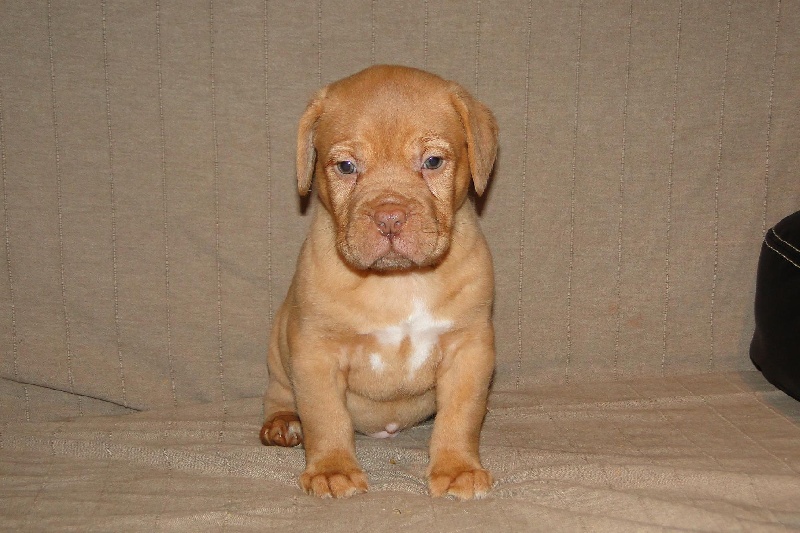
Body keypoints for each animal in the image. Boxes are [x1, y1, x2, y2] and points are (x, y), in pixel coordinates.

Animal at [260, 65, 498, 500]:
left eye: (433, 161)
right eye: (346, 167)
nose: (389, 217)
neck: (397, 281)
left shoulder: (469, 349)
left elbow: (461, 415)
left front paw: (457, 468)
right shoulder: (315, 353)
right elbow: (325, 417)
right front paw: (332, 469)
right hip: (279, 345)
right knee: (280, 394)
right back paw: (283, 423)